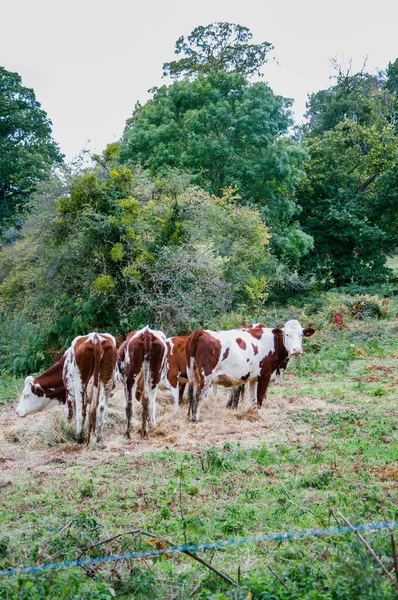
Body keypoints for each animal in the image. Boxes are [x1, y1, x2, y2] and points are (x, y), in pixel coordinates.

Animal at [186, 322, 314, 424]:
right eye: (286, 334)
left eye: (301, 334)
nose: (297, 350)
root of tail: (201, 332)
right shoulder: (265, 375)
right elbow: (260, 396)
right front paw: (259, 415)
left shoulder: (253, 378)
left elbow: (251, 397)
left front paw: (248, 413)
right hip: (206, 377)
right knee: (199, 395)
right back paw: (196, 419)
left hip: (194, 375)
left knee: (192, 394)